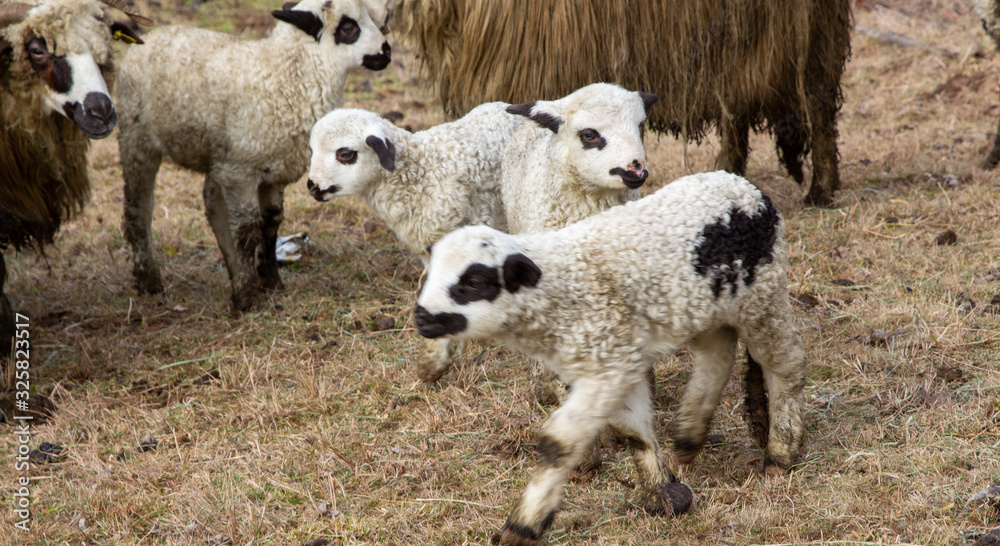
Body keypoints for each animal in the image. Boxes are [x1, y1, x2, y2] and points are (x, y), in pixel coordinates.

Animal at [117, 0, 393, 313]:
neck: (286, 76)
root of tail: (148, 38)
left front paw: (271, 283)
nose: (387, 52)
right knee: (138, 210)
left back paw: (233, 269)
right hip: (137, 139)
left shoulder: (273, 173)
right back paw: (149, 281)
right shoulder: (241, 172)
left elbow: (270, 224)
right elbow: (247, 230)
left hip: (216, 155)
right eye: (348, 28)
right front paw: (247, 297)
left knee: (212, 204)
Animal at [414, 171, 806, 544]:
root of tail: (749, 189)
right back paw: (689, 434)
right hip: (704, 307)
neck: (563, 287)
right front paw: (664, 493)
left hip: (764, 298)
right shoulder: (618, 358)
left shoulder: (609, 366)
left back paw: (781, 452)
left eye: (474, 283)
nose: (421, 316)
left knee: (784, 366)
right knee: (718, 353)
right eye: (429, 273)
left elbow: (559, 444)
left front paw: (524, 525)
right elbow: (633, 431)